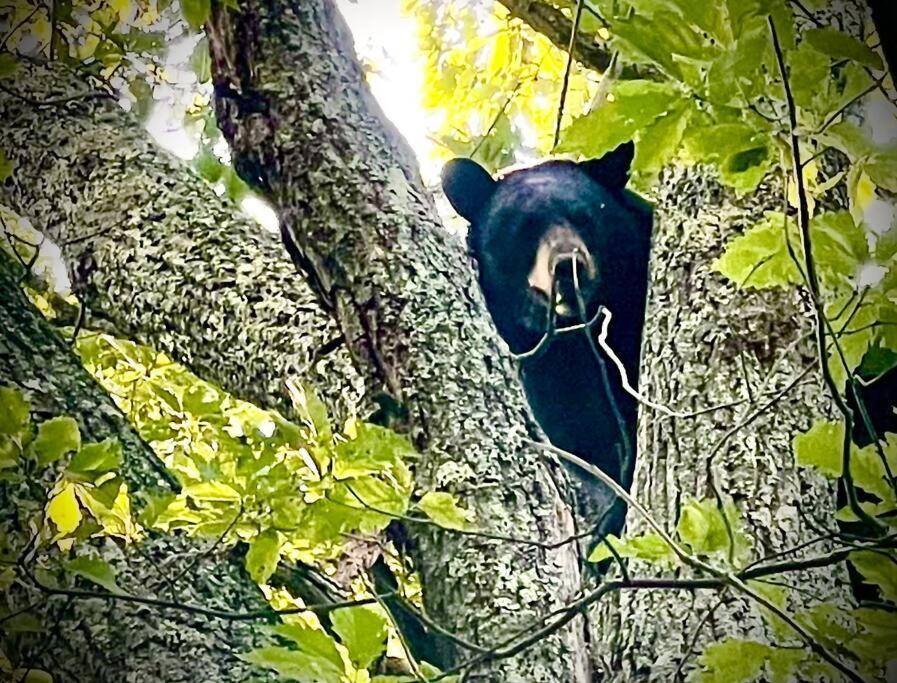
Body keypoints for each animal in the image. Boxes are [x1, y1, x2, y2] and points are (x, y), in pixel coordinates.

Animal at [440, 144, 652, 540]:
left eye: (586, 216)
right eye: (522, 229)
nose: (568, 266)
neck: (581, 331)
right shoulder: (541, 360)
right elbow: (579, 429)